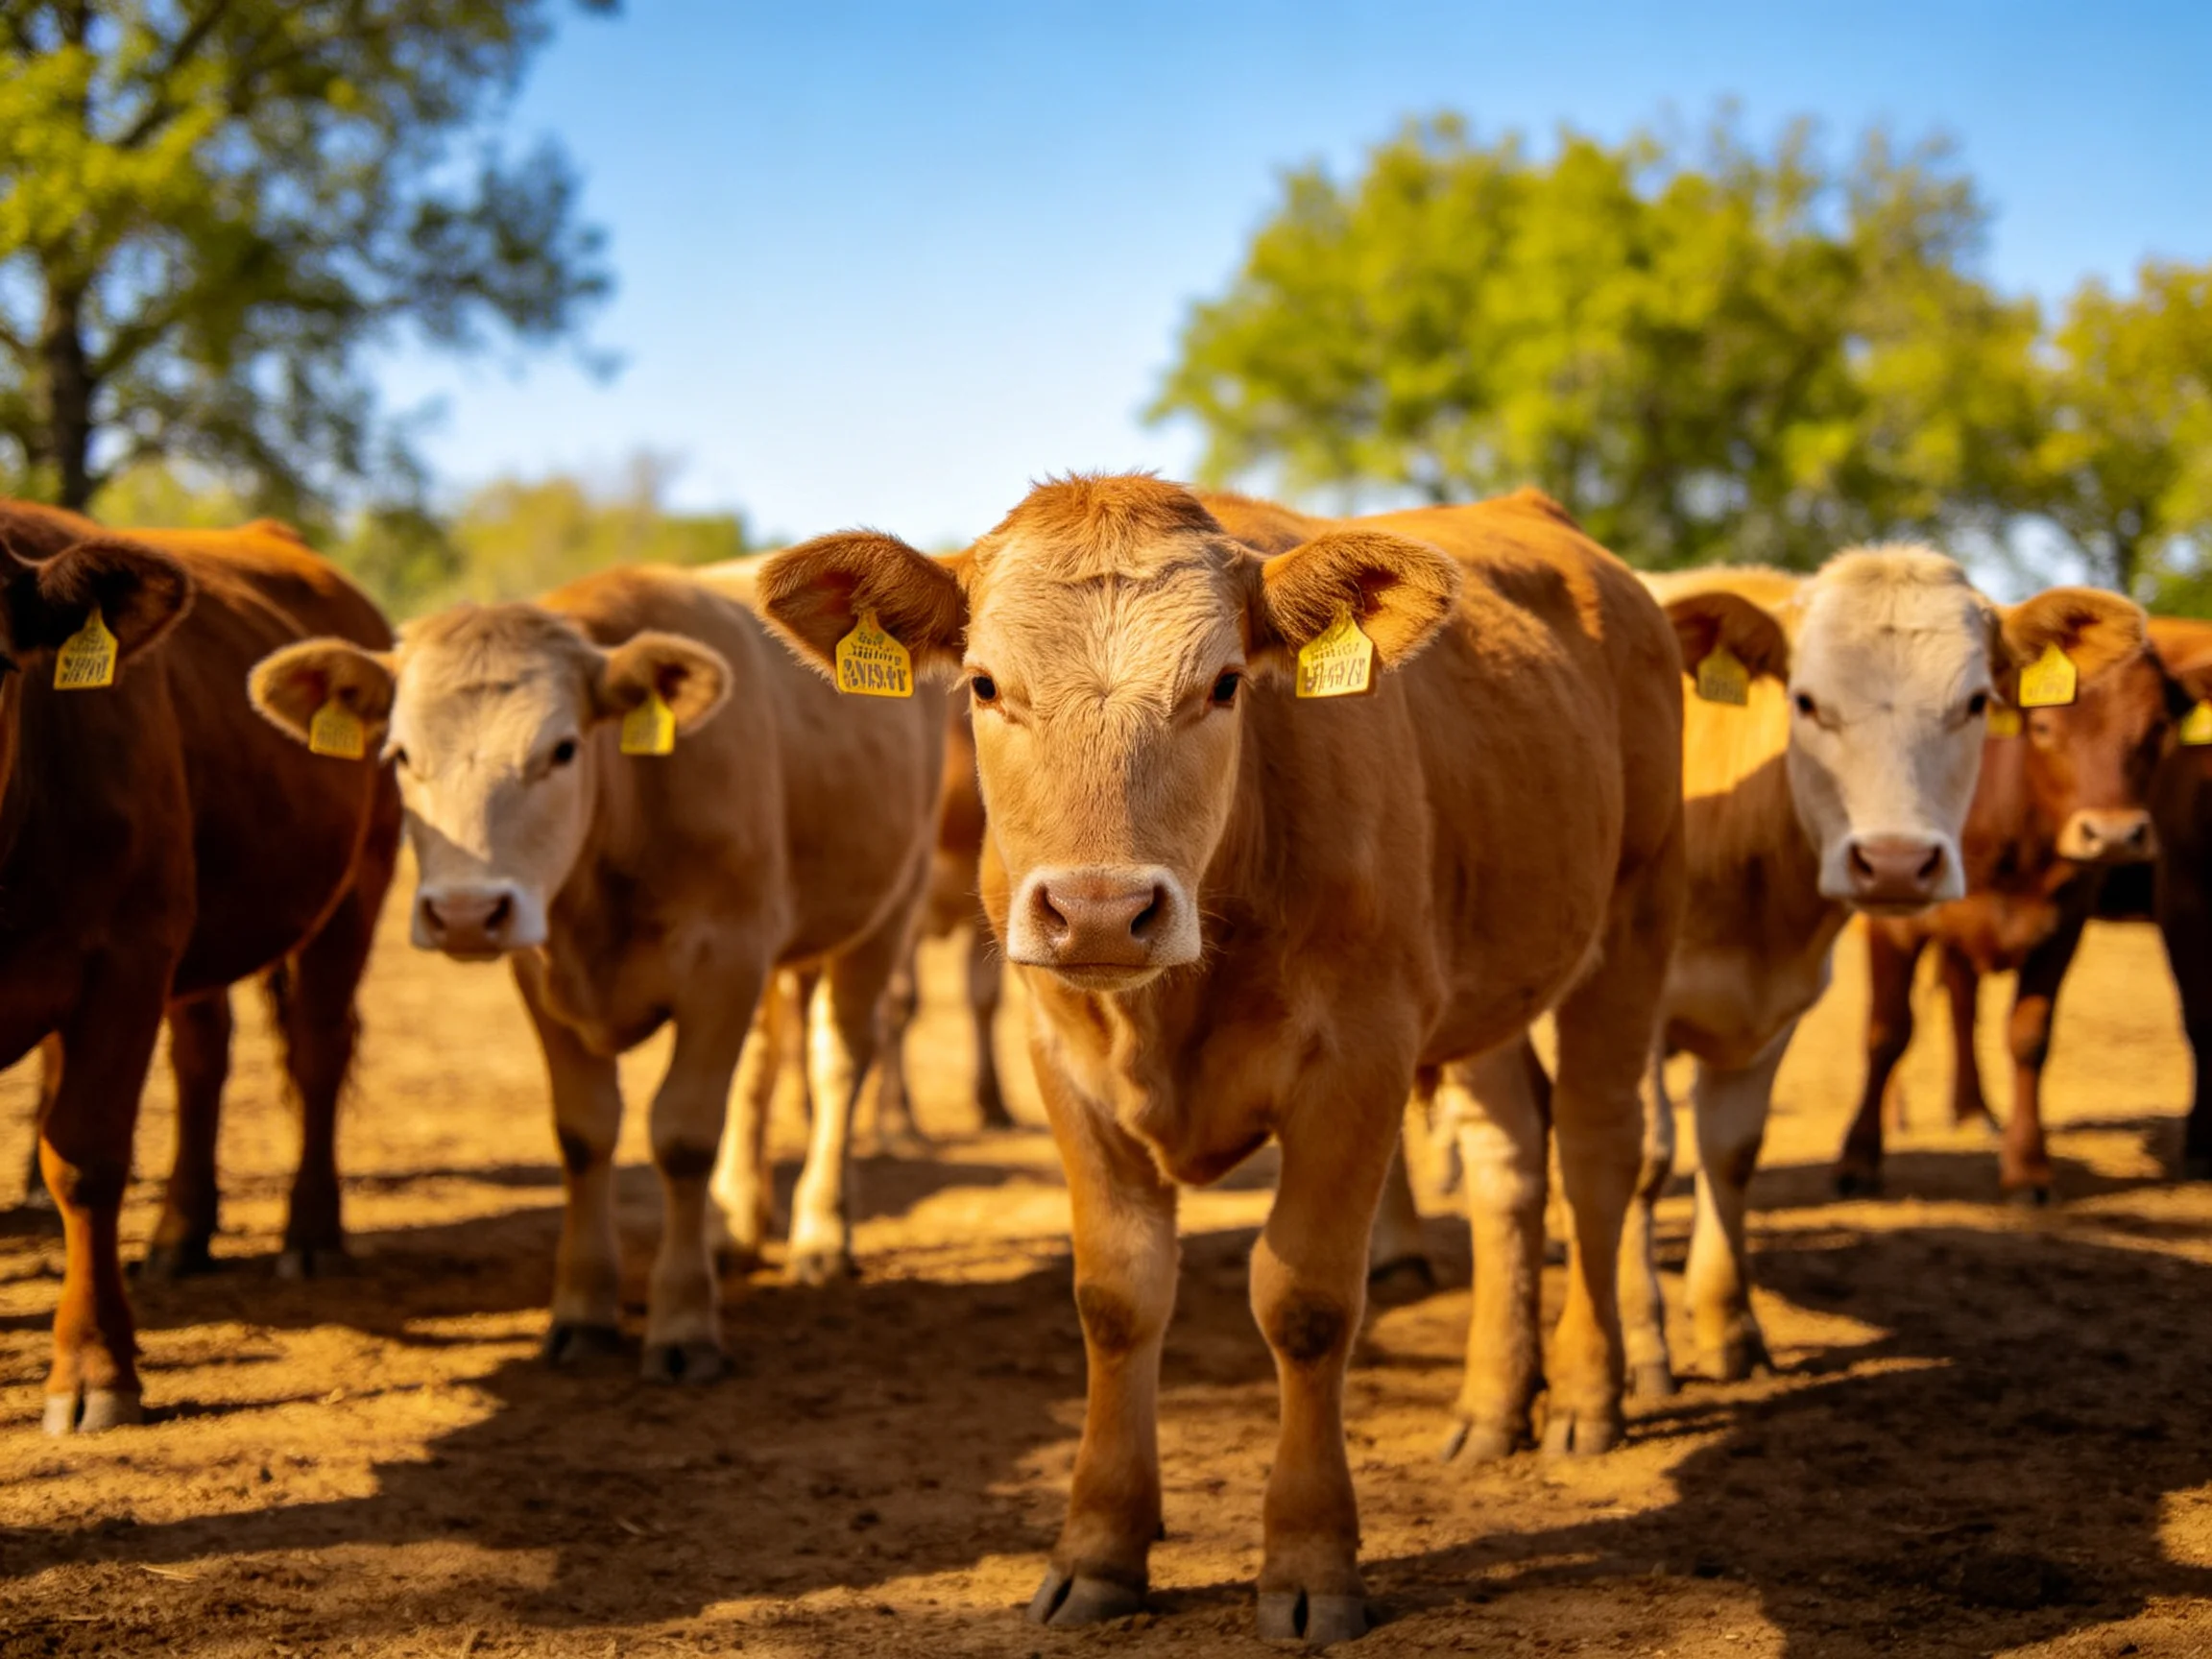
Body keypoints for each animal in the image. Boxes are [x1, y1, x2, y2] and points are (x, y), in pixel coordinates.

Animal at [0, 501, 400, 1436]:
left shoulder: (128, 952)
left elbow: (84, 1159)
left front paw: (94, 1368)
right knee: (203, 1057)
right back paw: (182, 1231)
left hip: (354, 887)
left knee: (316, 1053)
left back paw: (310, 1235)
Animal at [249, 563, 945, 1381]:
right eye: (399, 757)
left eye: (561, 750)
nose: (464, 912)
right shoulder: (544, 975)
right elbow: (583, 1135)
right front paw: (582, 1311)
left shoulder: (724, 964)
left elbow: (683, 1135)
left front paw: (684, 1322)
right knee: (761, 1069)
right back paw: (733, 1230)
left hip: (889, 909)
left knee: (839, 1062)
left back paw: (821, 1236)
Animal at [758, 476, 1685, 1647]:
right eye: (984, 683)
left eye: (1225, 683)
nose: (1100, 910)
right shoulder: (1062, 1061)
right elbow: (1116, 1297)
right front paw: (1098, 1549)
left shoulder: (1363, 1056)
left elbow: (1307, 1303)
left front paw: (1311, 1561)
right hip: (1487, 983)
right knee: (1509, 1162)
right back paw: (1489, 1406)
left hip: (1635, 918)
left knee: (1599, 1152)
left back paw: (1586, 1397)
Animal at [1607, 557, 2126, 1398]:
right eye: (1806, 702)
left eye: (1976, 703)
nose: (1895, 862)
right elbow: (1644, 1157)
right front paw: (1644, 1348)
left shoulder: (1776, 1007)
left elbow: (1732, 1152)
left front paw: (1730, 1327)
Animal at [1833, 600, 2183, 1200]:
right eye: (2042, 727)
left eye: (2157, 728)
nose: (2114, 835)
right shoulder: (1898, 923)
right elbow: (1887, 1031)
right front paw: (1858, 1158)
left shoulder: (2063, 925)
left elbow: (2029, 1038)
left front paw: (2028, 1167)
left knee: (1960, 1000)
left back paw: (1973, 1109)